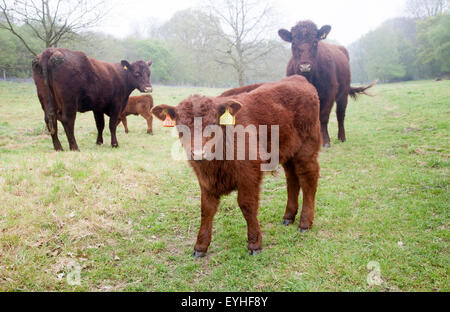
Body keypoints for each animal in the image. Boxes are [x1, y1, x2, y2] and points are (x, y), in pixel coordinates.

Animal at [153, 75, 322, 256]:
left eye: (213, 123)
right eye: (180, 126)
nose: (198, 153)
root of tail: (298, 78)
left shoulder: (249, 175)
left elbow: (247, 206)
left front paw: (254, 243)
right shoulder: (205, 181)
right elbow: (206, 209)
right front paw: (200, 246)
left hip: (306, 149)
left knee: (308, 180)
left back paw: (305, 222)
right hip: (289, 152)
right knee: (292, 179)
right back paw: (288, 217)